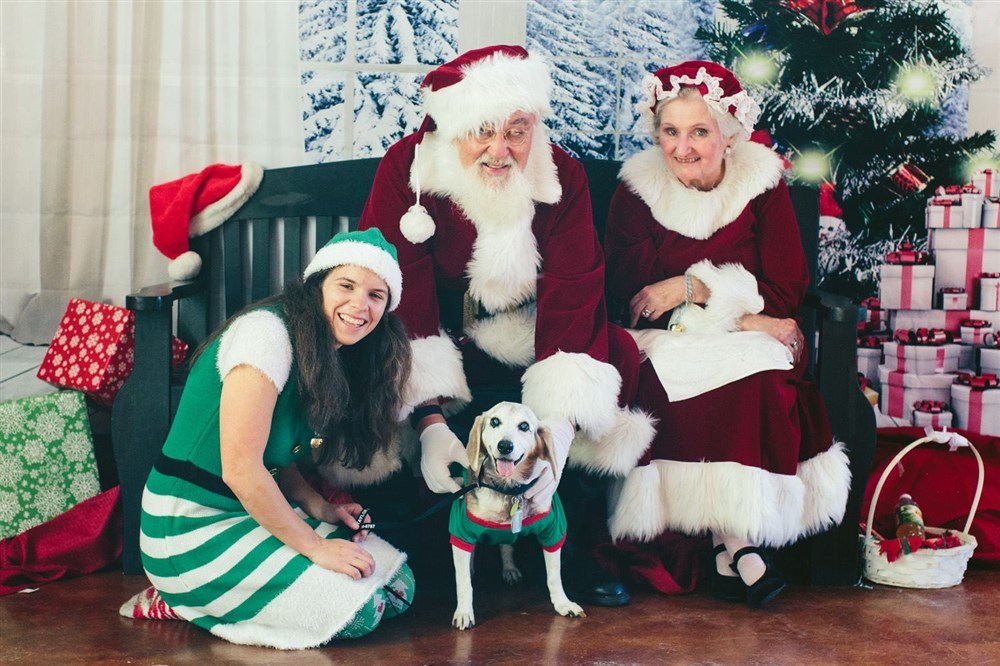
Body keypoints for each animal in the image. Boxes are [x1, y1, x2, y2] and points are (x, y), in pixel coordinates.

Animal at [450, 400, 584, 628]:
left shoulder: (553, 531)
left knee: (506, 544)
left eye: (524, 426)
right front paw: (464, 611)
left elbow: (554, 576)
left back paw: (509, 568)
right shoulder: (461, 532)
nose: (505, 446)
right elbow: (462, 582)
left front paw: (562, 603)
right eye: (495, 421)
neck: (510, 491)